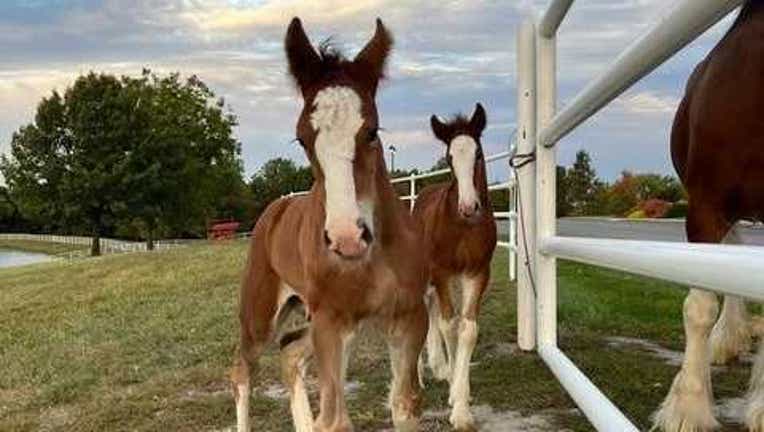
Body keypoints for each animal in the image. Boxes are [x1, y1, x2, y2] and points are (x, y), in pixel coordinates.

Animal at [230, 17, 426, 432]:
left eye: (372, 131)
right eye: (302, 138)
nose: (347, 238)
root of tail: (275, 209)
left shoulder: (409, 318)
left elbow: (404, 404)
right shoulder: (331, 324)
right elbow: (335, 419)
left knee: (289, 352)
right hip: (261, 316)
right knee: (242, 371)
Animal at [414, 103, 498, 430]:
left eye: (478, 154)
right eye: (450, 158)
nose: (469, 207)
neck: (463, 227)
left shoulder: (477, 273)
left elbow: (467, 329)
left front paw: (461, 401)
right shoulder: (441, 272)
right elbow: (448, 325)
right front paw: (455, 396)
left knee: (433, 312)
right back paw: (421, 375)